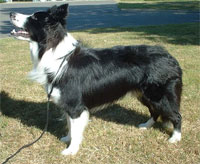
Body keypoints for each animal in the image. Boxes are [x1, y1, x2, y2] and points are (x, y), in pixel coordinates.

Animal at [10, 3, 183, 155]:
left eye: (34, 18)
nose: (11, 13)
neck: (54, 52)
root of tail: (171, 57)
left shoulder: (75, 105)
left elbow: (75, 128)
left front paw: (71, 150)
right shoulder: (68, 103)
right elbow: (70, 125)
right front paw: (67, 139)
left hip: (160, 96)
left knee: (176, 115)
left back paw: (175, 138)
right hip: (144, 94)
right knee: (155, 111)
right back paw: (146, 125)